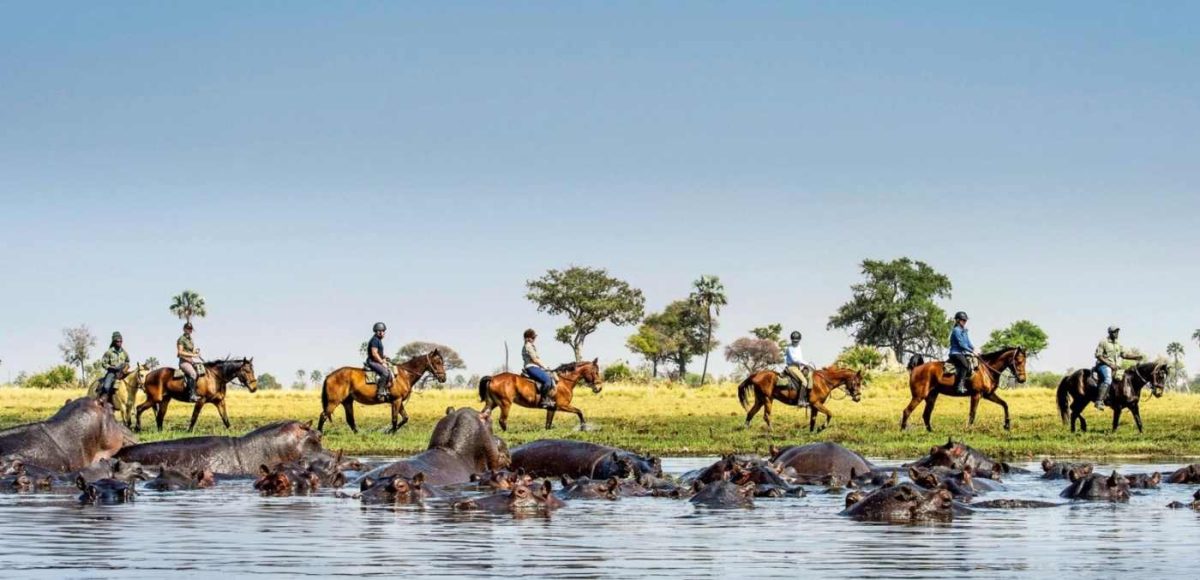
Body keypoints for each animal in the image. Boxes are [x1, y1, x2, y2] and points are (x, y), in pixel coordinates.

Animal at [318, 349, 447, 434]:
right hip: (334, 401)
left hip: (347, 401)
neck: (404, 375)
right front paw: (392, 433)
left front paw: (390, 431)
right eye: (437, 362)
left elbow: (405, 418)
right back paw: (318, 434)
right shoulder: (396, 400)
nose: (443, 378)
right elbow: (394, 418)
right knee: (323, 415)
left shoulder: (399, 401)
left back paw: (358, 434)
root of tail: (329, 376)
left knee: (350, 419)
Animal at [737, 366, 865, 432]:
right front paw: (821, 427)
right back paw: (772, 431)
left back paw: (745, 429)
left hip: (760, 400)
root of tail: (755, 375)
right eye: (857, 383)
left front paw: (812, 433)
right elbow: (830, 413)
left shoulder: (815, 406)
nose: (858, 398)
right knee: (766, 416)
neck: (824, 381)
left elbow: (813, 419)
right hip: (767, 399)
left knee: (751, 413)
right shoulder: (816, 403)